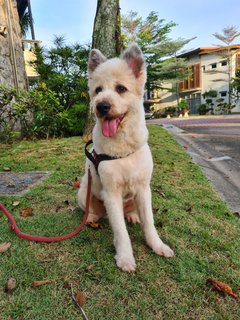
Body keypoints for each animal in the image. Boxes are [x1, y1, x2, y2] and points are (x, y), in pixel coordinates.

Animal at [78, 43, 173, 272]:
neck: (122, 148)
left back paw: (132, 215)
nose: (101, 106)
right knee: (91, 211)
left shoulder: (144, 189)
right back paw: (91, 217)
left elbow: (150, 223)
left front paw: (157, 245)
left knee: (131, 213)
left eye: (121, 88)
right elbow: (121, 232)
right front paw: (125, 257)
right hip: (84, 192)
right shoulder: (111, 193)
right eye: (98, 90)